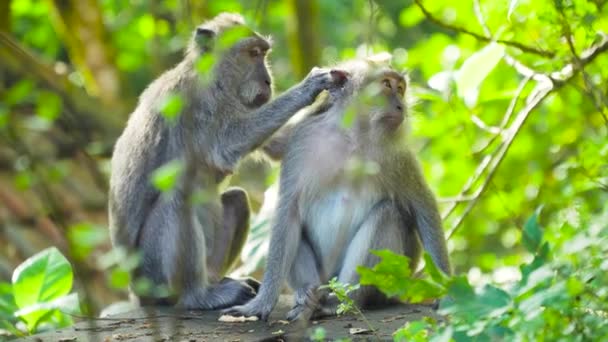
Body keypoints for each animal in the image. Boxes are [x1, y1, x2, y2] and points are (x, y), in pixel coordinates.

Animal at [108, 12, 346, 310]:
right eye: (253, 53)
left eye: (263, 53)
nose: (268, 81)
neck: (215, 80)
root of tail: (136, 292)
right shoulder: (195, 103)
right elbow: (227, 146)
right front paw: (309, 86)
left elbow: (282, 145)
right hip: (153, 278)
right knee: (177, 199)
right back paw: (198, 295)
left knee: (237, 198)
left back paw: (217, 281)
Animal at [223, 56, 452, 320]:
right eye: (386, 84)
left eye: (401, 88)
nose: (400, 107)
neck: (351, 135)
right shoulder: (301, 142)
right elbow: (288, 211)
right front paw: (261, 302)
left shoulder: (398, 155)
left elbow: (422, 204)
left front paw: (447, 291)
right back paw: (308, 295)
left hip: (389, 281)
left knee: (387, 214)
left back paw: (342, 300)